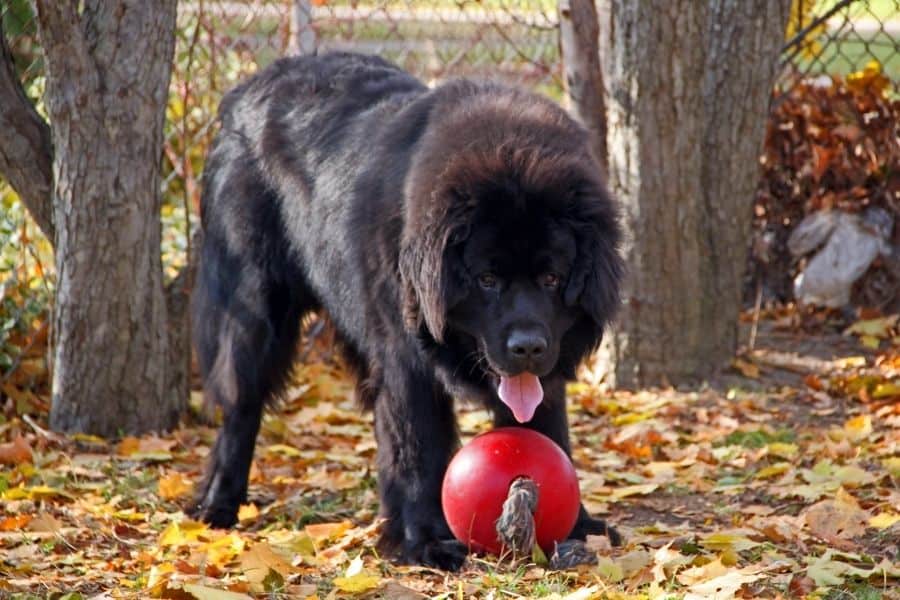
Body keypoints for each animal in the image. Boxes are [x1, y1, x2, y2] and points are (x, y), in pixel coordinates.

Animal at [192, 50, 624, 568]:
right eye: (487, 280)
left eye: (552, 279)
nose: (527, 347)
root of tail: (248, 88)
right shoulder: (405, 361)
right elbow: (416, 447)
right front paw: (424, 541)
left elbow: (547, 431)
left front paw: (576, 527)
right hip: (255, 305)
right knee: (241, 402)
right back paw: (218, 504)